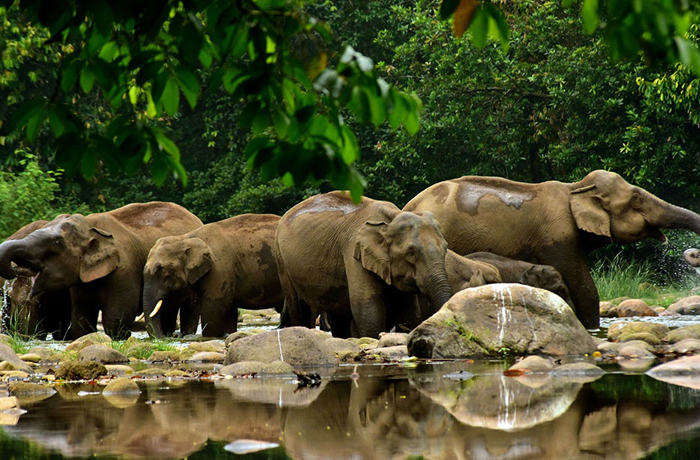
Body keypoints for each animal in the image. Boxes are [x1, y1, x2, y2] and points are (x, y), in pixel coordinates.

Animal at [0, 202, 203, 340]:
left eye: (56, 243)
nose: (16, 270)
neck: (91, 227)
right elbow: (81, 321)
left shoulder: (125, 271)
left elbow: (115, 319)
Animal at [141, 214, 283, 338]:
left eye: (161, 270)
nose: (169, 337)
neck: (186, 238)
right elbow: (229, 309)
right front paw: (228, 334)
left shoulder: (220, 269)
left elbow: (213, 307)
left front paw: (211, 336)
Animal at [275, 191, 453, 338]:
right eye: (411, 252)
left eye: (445, 248)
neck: (392, 217)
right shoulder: (354, 252)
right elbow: (367, 307)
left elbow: (410, 310)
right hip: (283, 262)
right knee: (300, 308)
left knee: (339, 316)